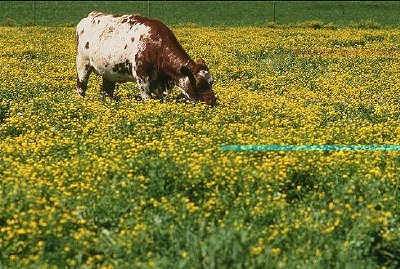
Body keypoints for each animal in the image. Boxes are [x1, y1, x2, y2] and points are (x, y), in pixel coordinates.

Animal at [74, 11, 216, 105]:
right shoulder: (142, 79)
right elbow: (147, 100)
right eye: (200, 84)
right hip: (83, 64)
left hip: (109, 71)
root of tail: (90, 16)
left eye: (211, 81)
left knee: (107, 91)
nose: (213, 102)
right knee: (81, 87)